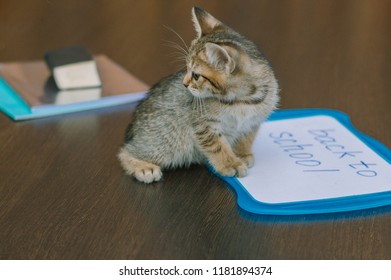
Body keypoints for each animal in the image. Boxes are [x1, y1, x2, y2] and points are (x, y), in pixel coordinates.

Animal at [118, 6, 280, 183]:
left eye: (196, 75)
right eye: (186, 68)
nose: (184, 83)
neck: (243, 99)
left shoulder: (252, 122)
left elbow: (245, 138)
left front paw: (242, 154)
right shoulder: (202, 124)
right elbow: (217, 145)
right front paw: (230, 163)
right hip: (168, 141)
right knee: (125, 151)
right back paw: (144, 166)